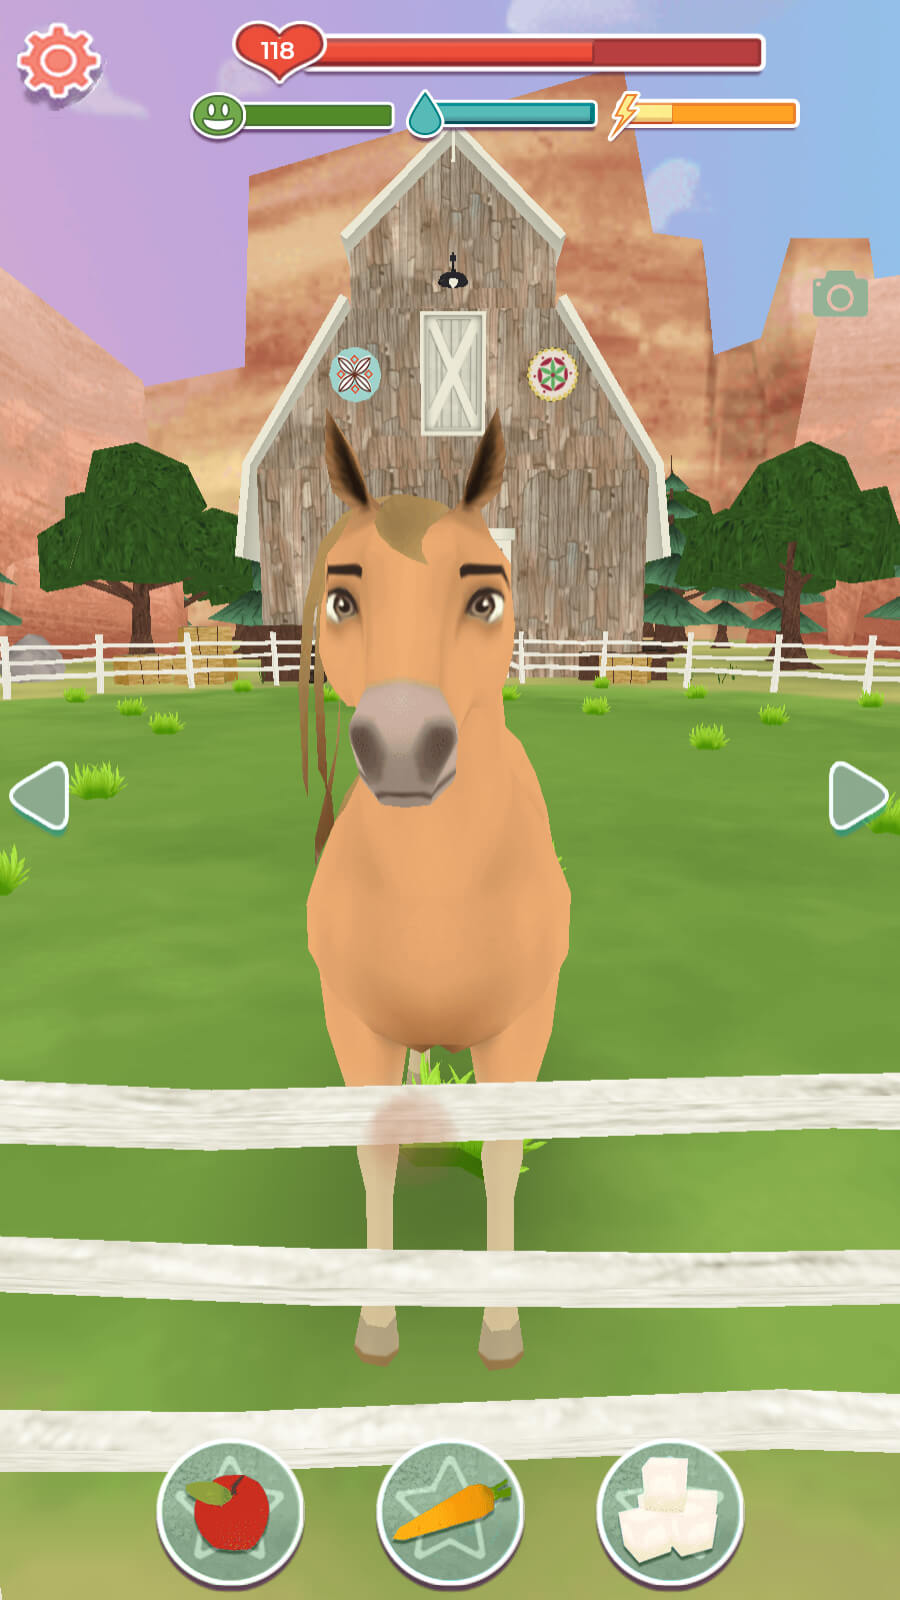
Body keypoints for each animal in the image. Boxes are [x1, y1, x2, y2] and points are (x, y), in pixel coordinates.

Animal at [299, 409, 570, 1368]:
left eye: (485, 598)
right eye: (343, 599)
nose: (404, 745)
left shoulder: (520, 1027)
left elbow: (500, 1154)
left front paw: (500, 1326)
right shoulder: (354, 1024)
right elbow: (375, 1150)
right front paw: (378, 1323)